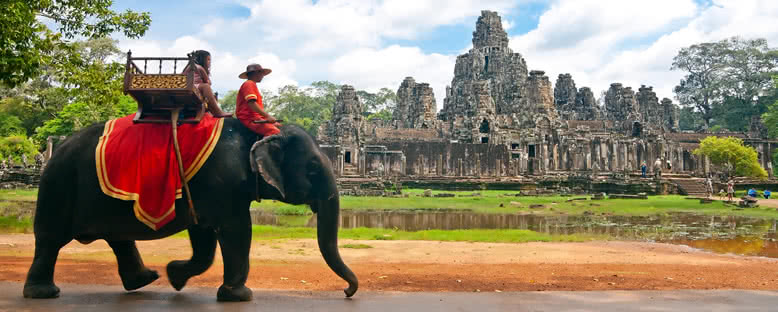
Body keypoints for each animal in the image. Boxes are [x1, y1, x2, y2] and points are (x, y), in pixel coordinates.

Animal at [22, 119, 358, 300]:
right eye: (313, 168)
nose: (347, 292)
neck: (257, 130)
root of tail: (57, 149)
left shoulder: (205, 193)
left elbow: (204, 239)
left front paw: (176, 276)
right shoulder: (222, 183)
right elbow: (237, 231)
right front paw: (239, 296)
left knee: (118, 238)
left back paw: (145, 279)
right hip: (58, 185)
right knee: (49, 240)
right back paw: (43, 293)